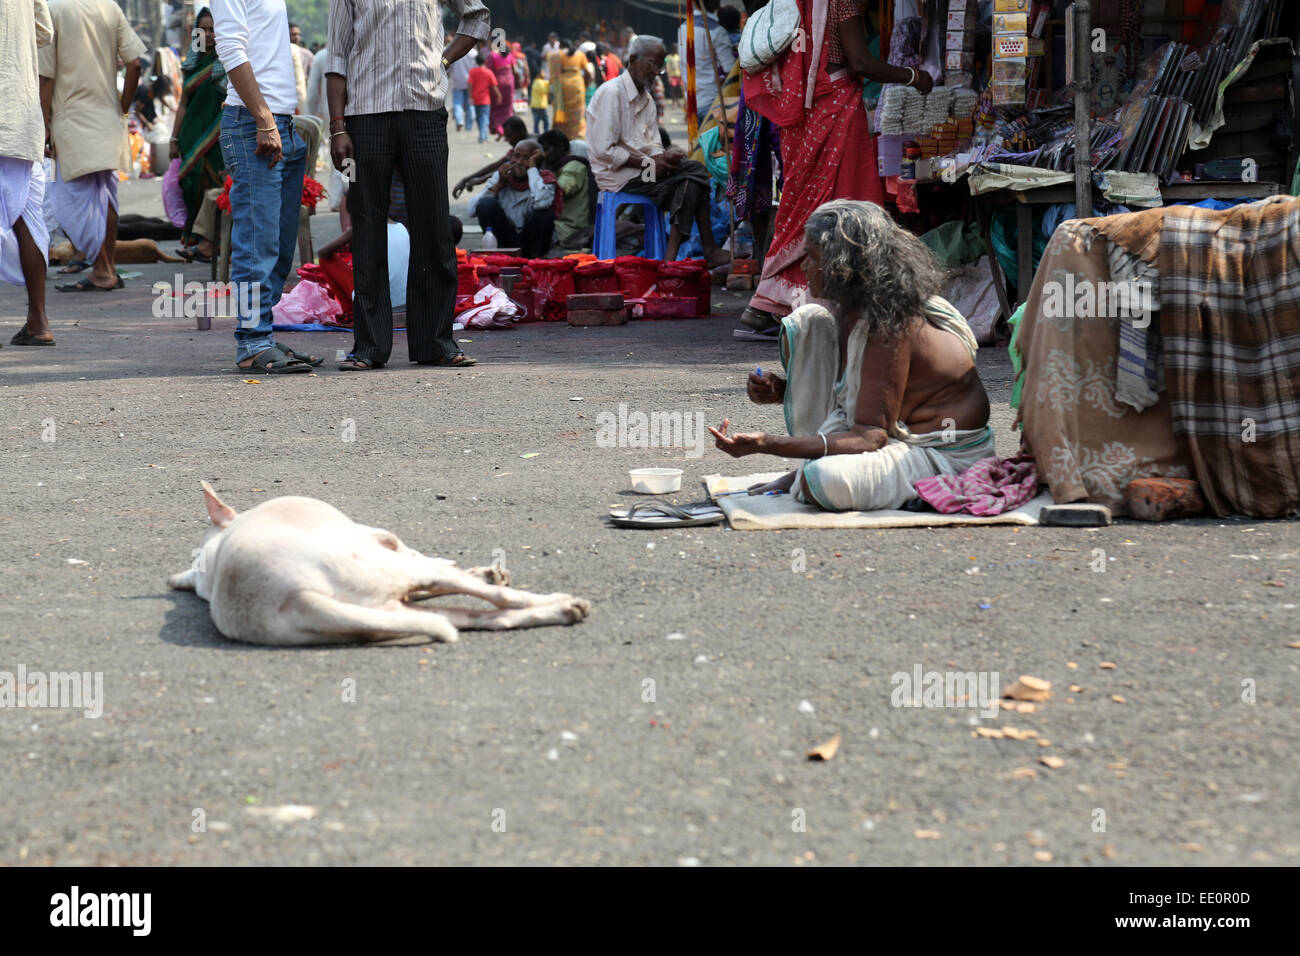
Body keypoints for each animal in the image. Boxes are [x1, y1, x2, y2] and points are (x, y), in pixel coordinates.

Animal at [170, 481, 592, 647]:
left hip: (382, 614)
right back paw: (555, 601)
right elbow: (416, 552)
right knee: (492, 598)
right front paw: (484, 572)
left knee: (487, 618)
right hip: (377, 570)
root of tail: (294, 597)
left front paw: (484, 570)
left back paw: (562, 611)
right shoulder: (379, 538)